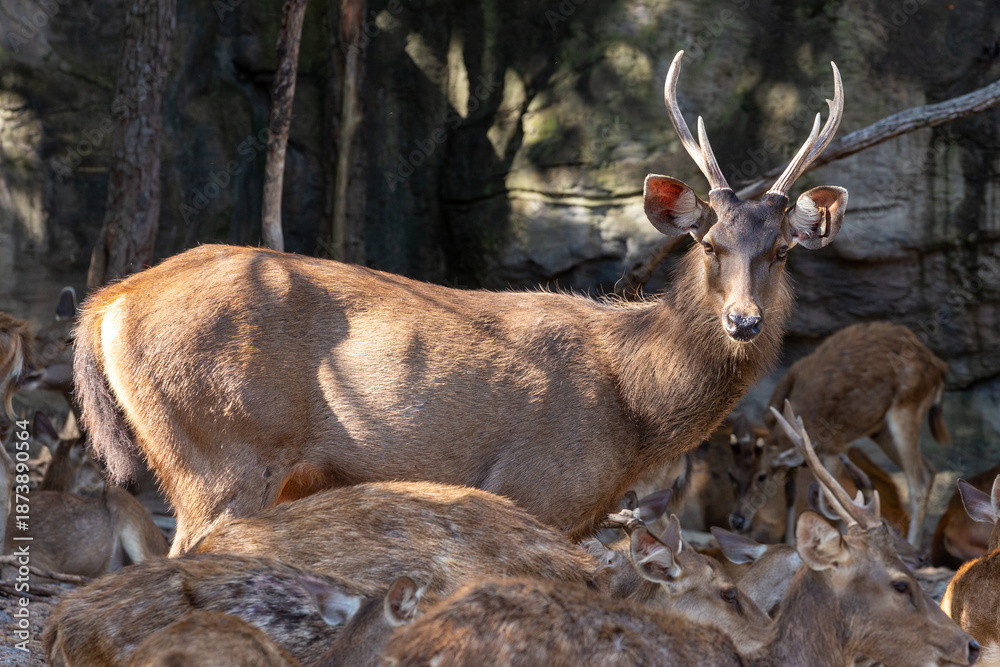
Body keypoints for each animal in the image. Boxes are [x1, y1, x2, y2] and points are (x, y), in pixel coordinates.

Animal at [74, 50, 848, 555]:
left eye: (782, 251)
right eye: (708, 243)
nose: (743, 320)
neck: (635, 403)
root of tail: (111, 302)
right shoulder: (535, 485)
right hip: (220, 447)